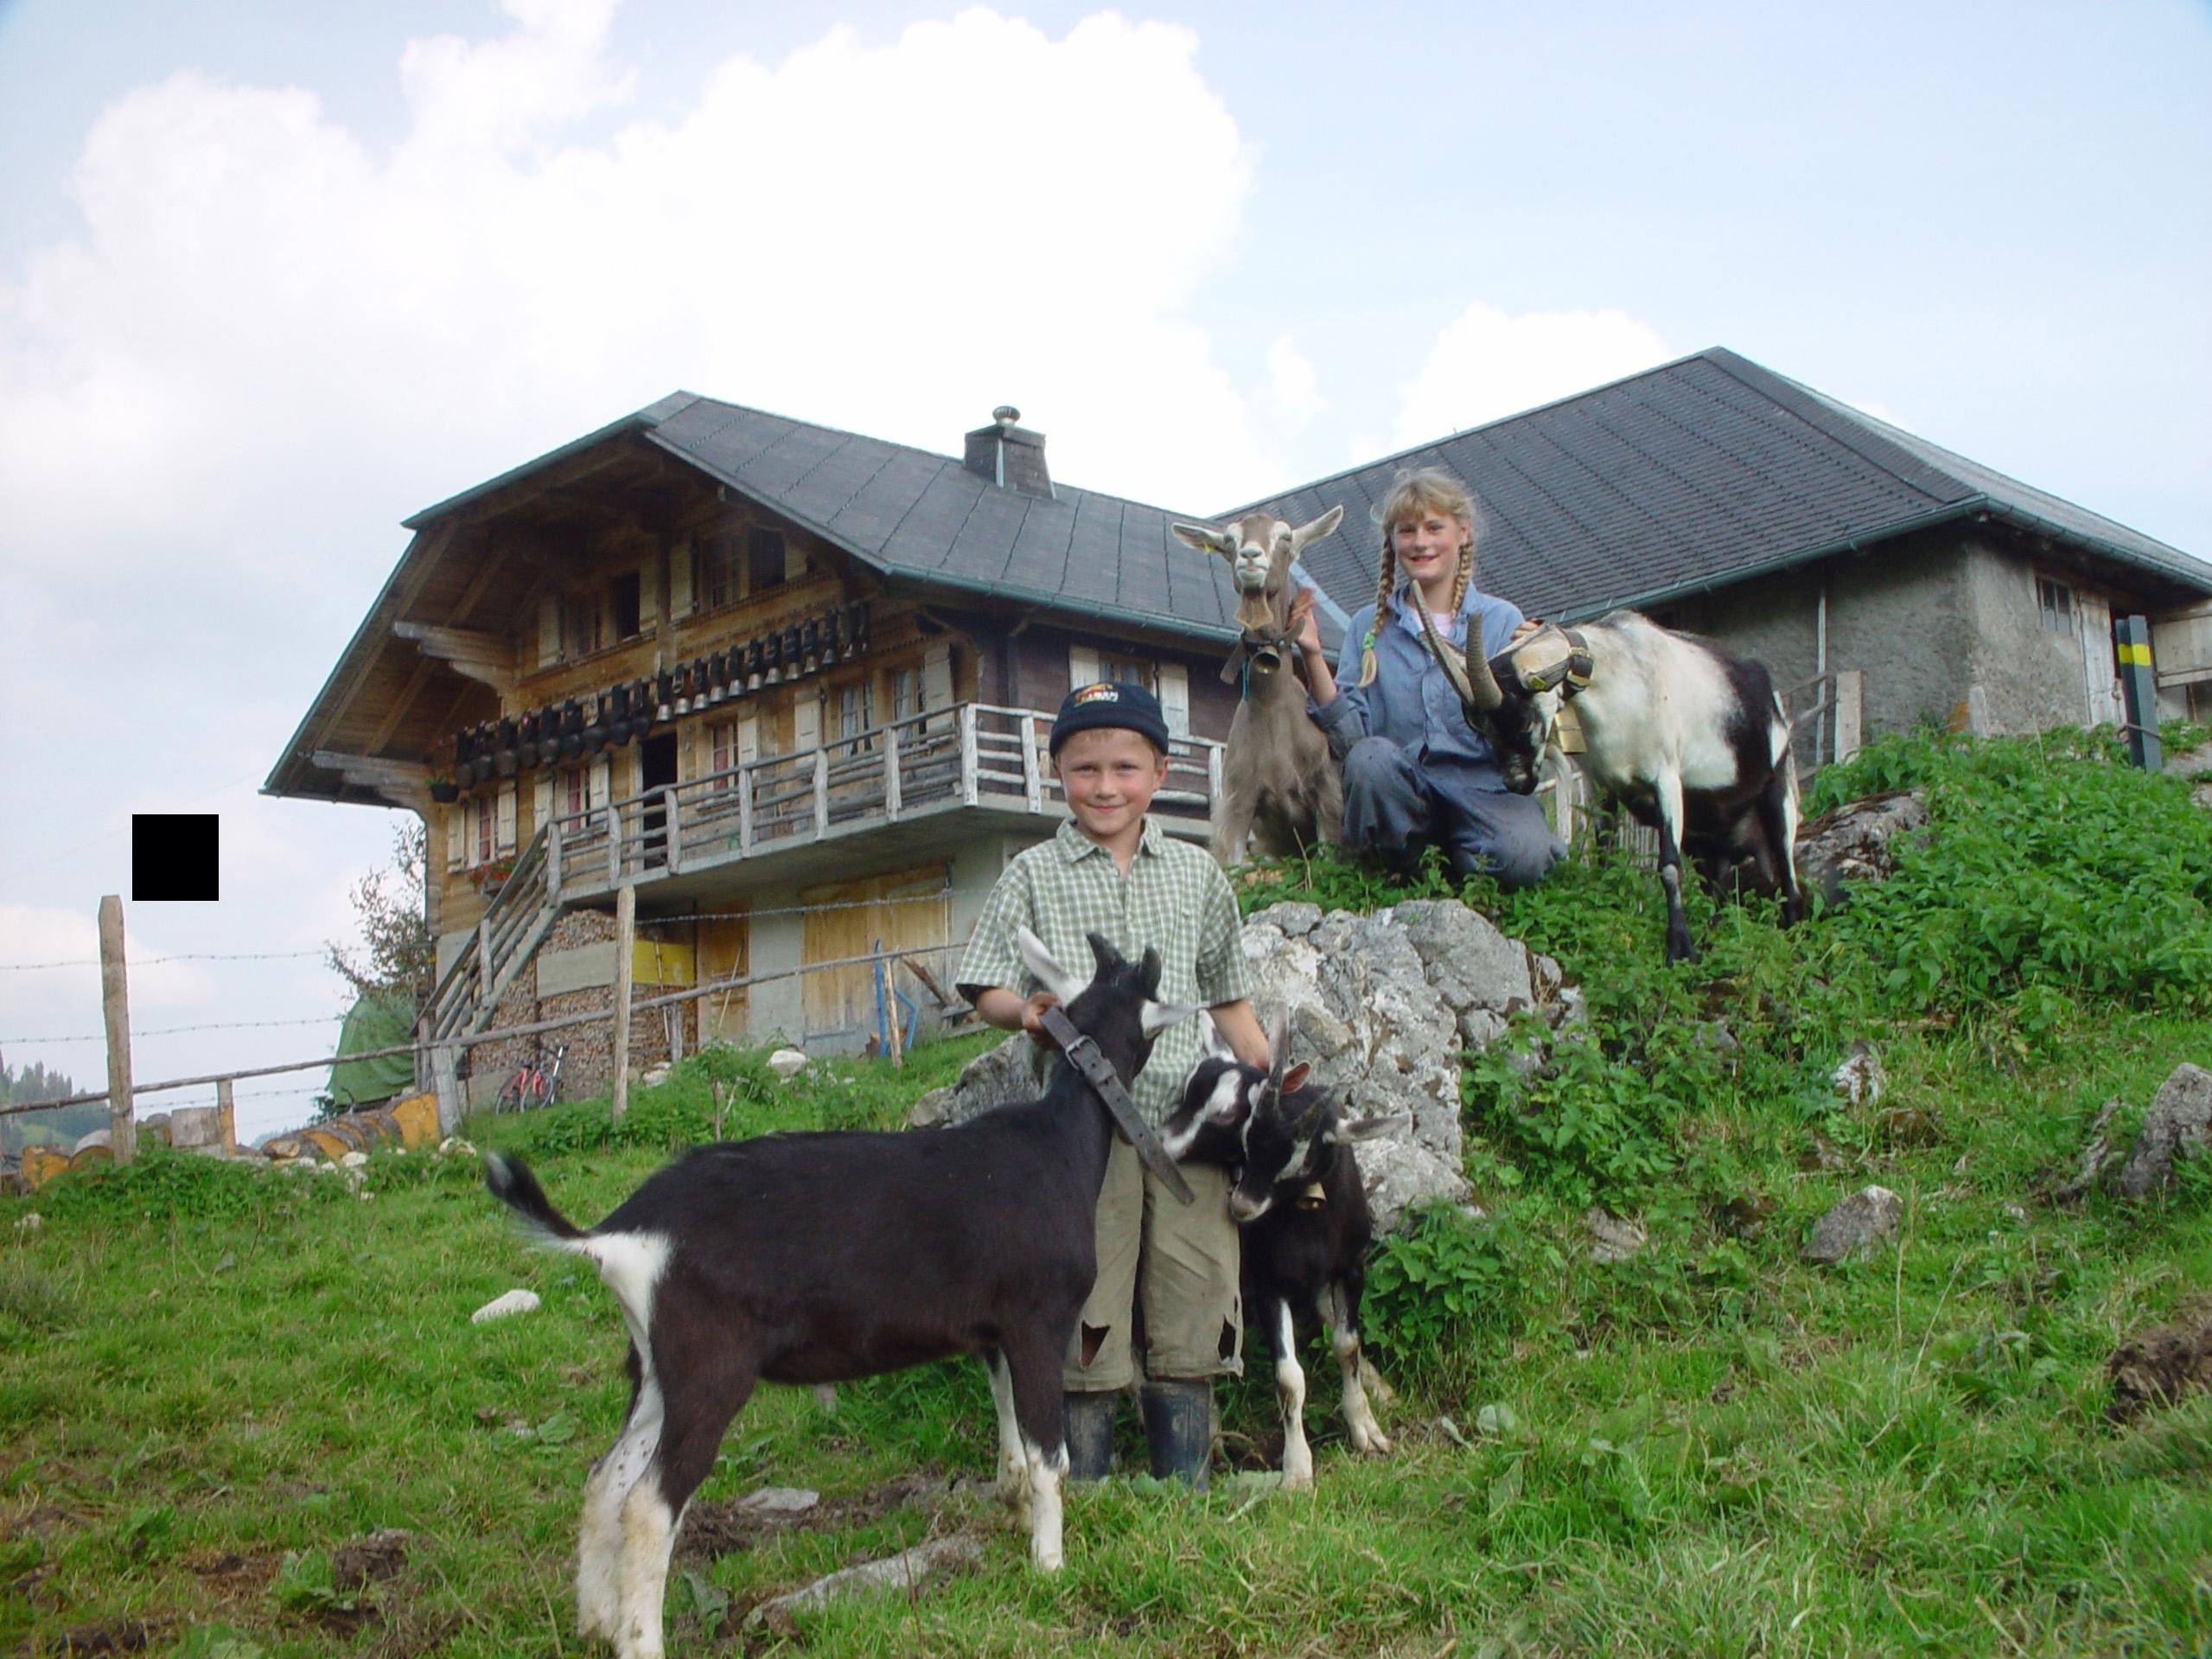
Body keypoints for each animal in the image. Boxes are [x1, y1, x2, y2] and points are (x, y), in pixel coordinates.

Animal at [484, 929, 1194, 1659]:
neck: (1058, 1145)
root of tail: (617, 1235)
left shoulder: (991, 1334)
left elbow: (1012, 1439)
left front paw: (1015, 1510)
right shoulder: (1037, 1322)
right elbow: (1050, 1454)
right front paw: (1049, 1563)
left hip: (655, 1368)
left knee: (605, 1479)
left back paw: (594, 1621)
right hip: (710, 1368)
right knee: (648, 1503)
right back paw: (639, 1638)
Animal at [1160, 1014, 1399, 1490]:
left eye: (1299, 1164)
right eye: (1248, 1139)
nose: (1241, 1207)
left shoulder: (1351, 1268)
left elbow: (1346, 1343)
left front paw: (1366, 1427)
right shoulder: (1269, 1285)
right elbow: (1290, 1379)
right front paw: (1297, 1468)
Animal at [1418, 606, 1802, 963]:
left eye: (1524, 720)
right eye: (1482, 728)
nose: (1517, 782)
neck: (1618, 674)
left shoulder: (1666, 776)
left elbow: (1668, 865)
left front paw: (1680, 949)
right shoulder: (1604, 783)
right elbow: (1604, 850)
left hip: (1778, 792)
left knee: (1788, 879)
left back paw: (1793, 934)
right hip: (1708, 836)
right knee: (1718, 886)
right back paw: (1713, 937)